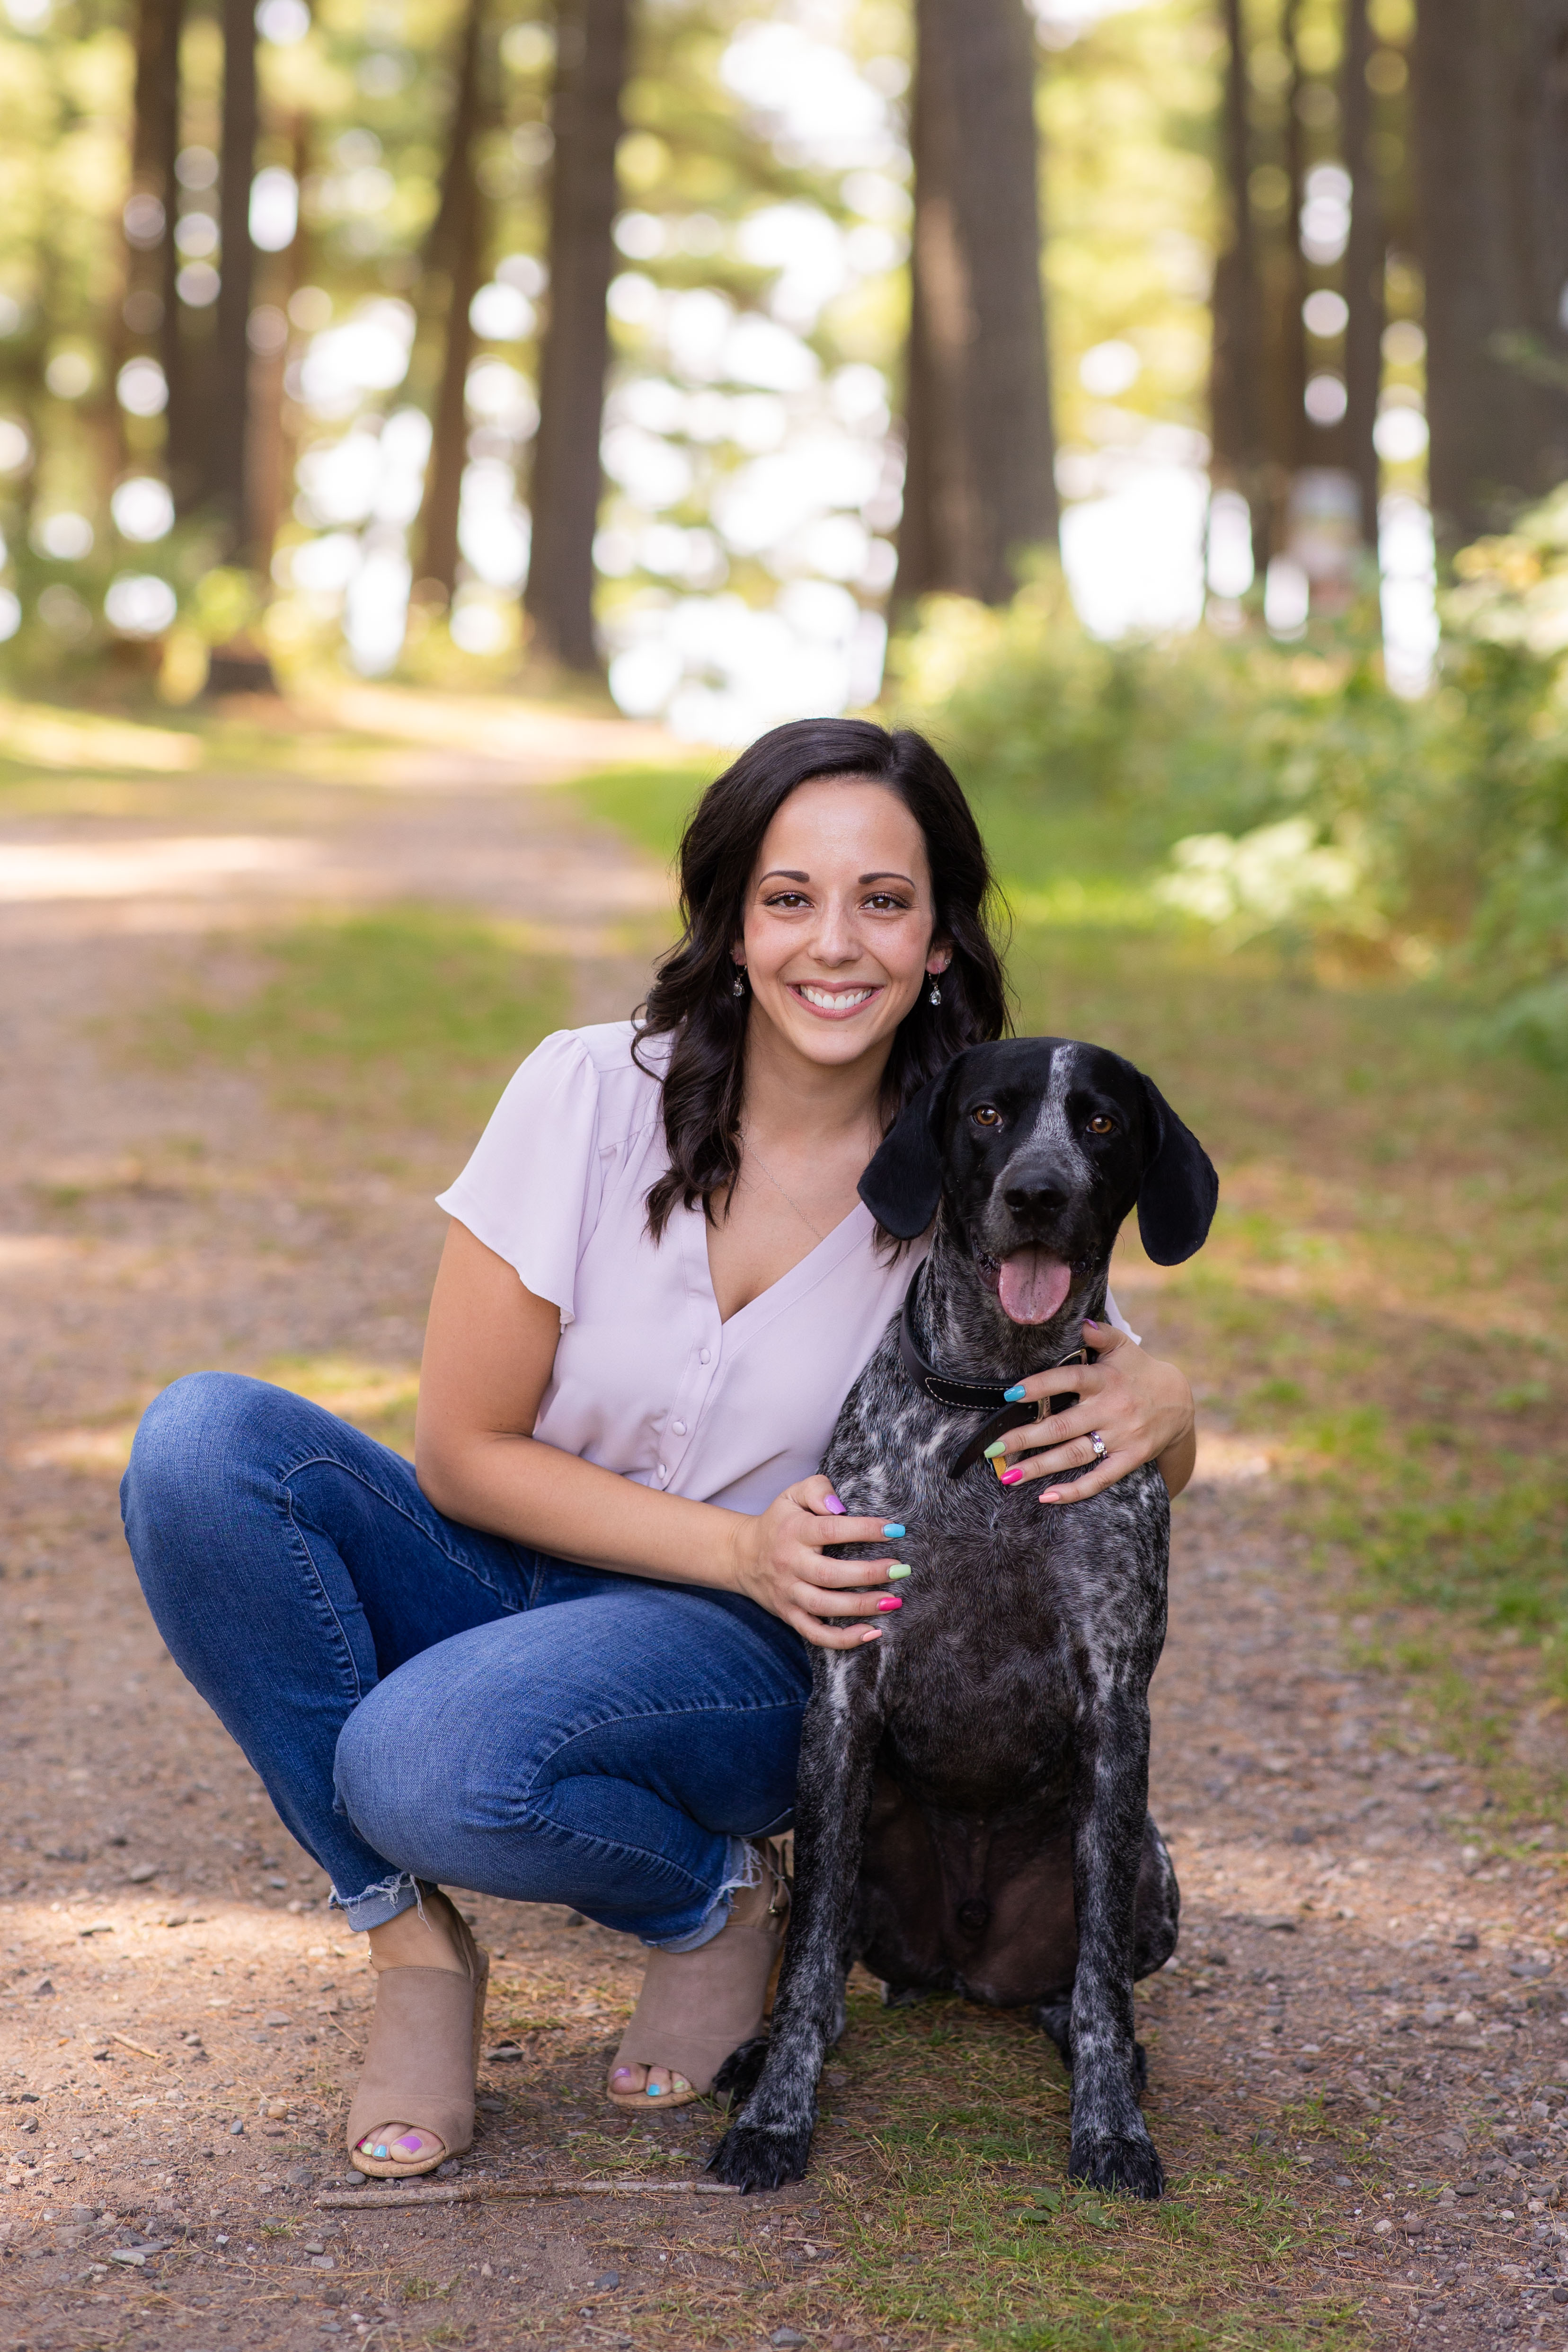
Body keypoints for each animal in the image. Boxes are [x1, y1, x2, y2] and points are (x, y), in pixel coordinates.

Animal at [714, 1039, 1222, 2192]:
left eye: (1100, 1122)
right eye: (989, 1113)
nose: (1037, 1193)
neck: (994, 1400)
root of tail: (960, 1959)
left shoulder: (1116, 1699)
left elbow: (1098, 1985)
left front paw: (1110, 2127)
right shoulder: (846, 1685)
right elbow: (807, 1972)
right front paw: (777, 2116)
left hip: (1152, 1872)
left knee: (1078, 1986)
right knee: (826, 1963)